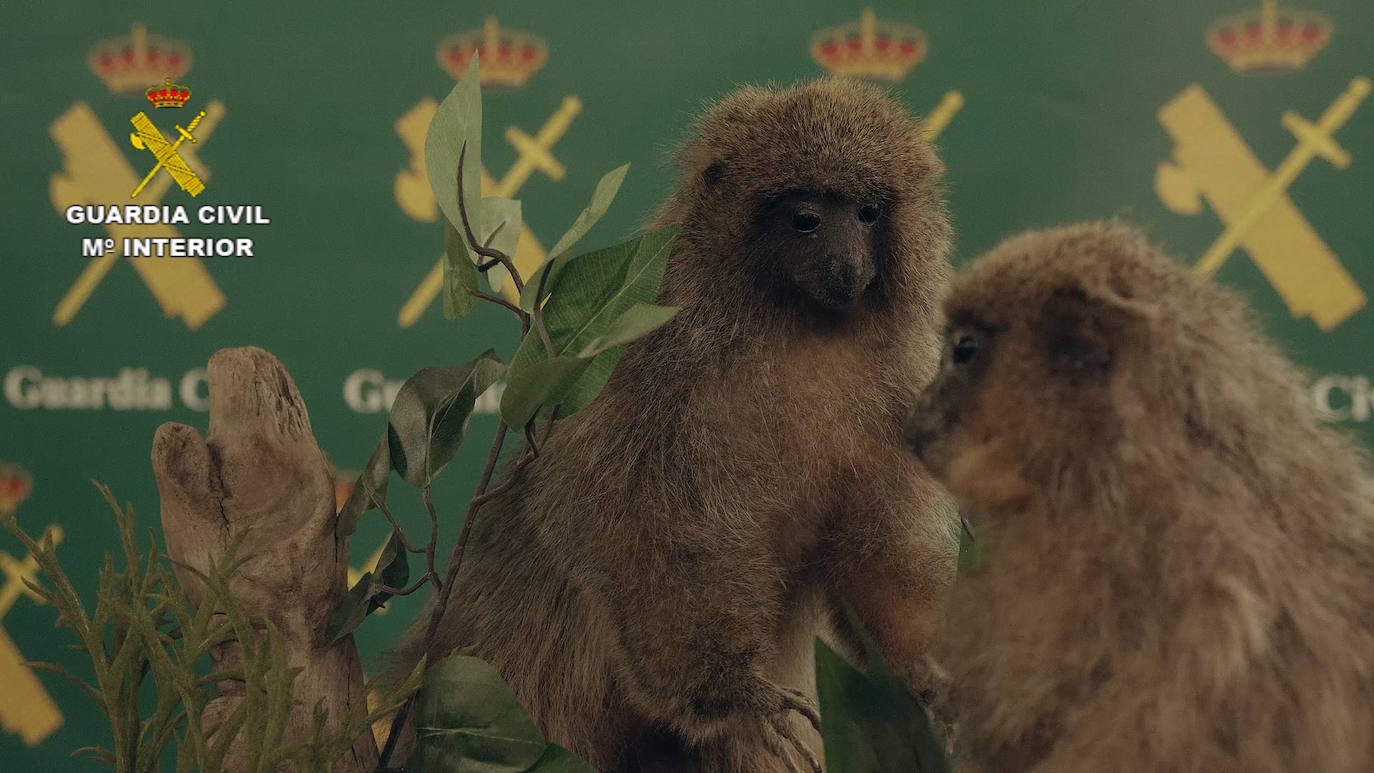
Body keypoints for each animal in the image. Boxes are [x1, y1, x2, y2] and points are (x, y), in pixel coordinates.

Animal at [392, 80, 961, 773]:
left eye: (867, 214)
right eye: (806, 218)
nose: (844, 263)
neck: (800, 332)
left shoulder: (902, 395)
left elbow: (874, 557)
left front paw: (927, 681)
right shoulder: (655, 359)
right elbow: (637, 524)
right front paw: (727, 689)